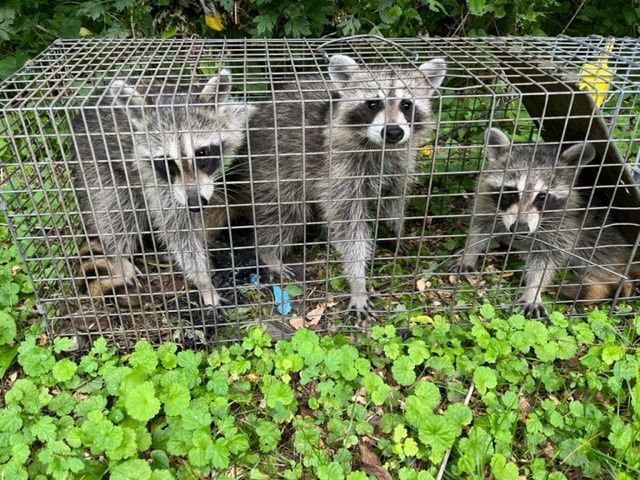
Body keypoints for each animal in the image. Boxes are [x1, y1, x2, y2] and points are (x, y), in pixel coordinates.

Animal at [72, 71, 252, 309]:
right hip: (96, 163)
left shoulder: (233, 119)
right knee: (115, 211)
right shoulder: (157, 180)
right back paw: (118, 257)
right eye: (167, 162)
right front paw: (204, 283)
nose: (195, 204)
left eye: (202, 153)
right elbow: (178, 230)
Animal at [240, 54, 446, 318]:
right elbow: (350, 230)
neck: (380, 148)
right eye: (372, 104)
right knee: (284, 214)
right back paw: (269, 252)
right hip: (273, 168)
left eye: (406, 105)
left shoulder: (399, 164)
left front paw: (397, 231)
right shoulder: (340, 169)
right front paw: (358, 281)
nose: (393, 132)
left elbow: (394, 201)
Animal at [451, 127, 639, 318]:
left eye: (542, 197)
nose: (520, 228)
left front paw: (533, 291)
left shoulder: (565, 223)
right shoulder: (486, 199)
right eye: (511, 192)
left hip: (604, 238)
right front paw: (469, 254)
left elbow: (547, 258)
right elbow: (479, 227)